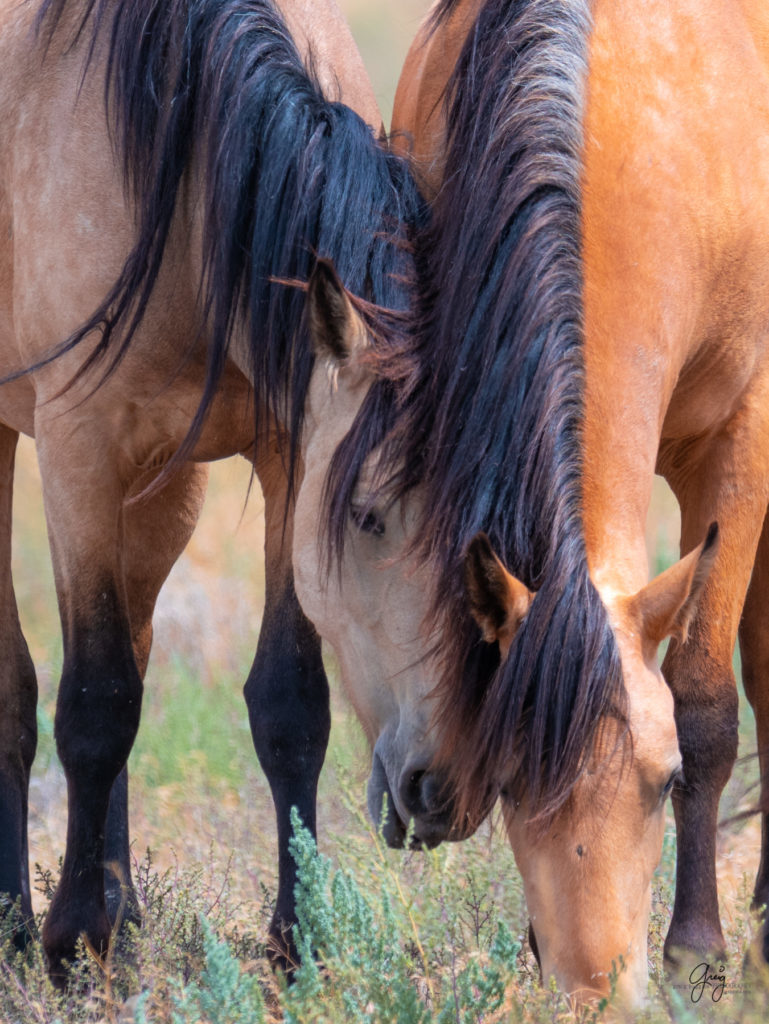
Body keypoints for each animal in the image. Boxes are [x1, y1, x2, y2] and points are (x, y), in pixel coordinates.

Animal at [0, 0, 450, 978]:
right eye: (367, 517)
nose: (431, 789)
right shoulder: (78, 450)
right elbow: (94, 702)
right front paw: (73, 941)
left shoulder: (289, 456)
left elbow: (288, 704)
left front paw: (298, 939)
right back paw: (19, 921)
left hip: (162, 496)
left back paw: (123, 911)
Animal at [362, 0, 769, 1007]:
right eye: (508, 784)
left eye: (662, 780)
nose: (596, 996)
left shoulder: (739, 442)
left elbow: (705, 698)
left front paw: (696, 953)